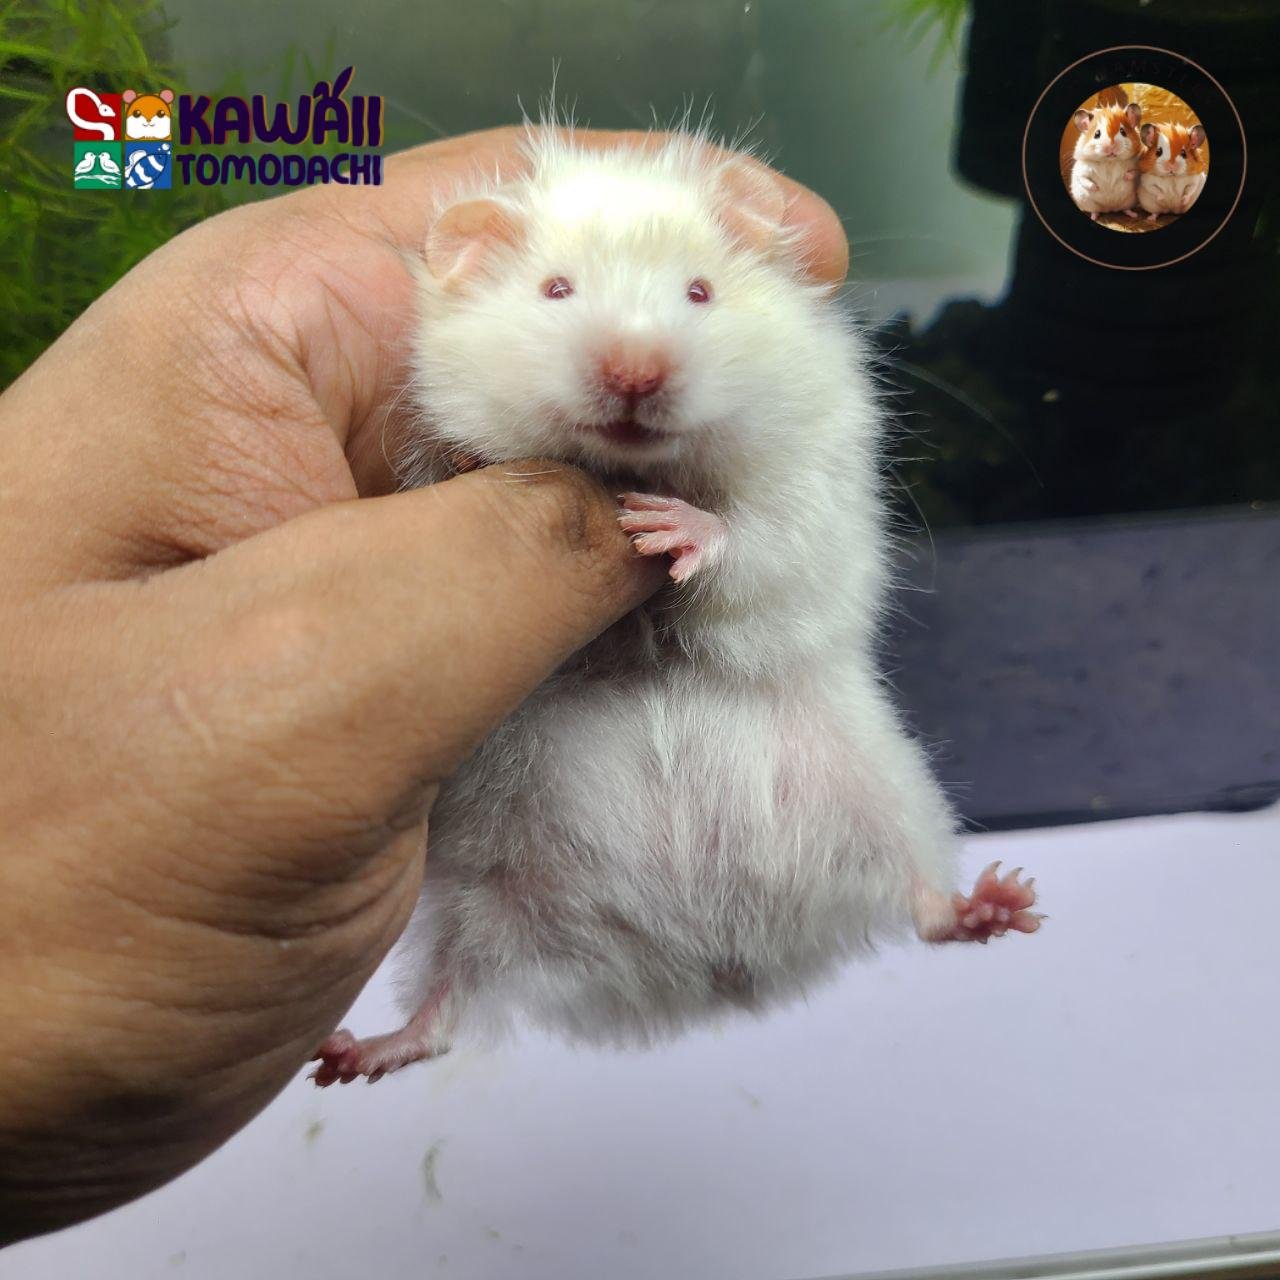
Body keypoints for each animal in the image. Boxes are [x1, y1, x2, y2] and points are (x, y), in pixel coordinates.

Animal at [311, 130, 1041, 1086]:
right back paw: (346, 1055)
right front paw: (487, 467)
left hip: (883, 791)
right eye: (556, 290)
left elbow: (759, 538)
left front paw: (664, 528)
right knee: (445, 1008)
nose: (635, 372)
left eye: (700, 292)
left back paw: (1004, 904)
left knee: (922, 900)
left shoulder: (809, 482)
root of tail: (703, 975)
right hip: (475, 899)